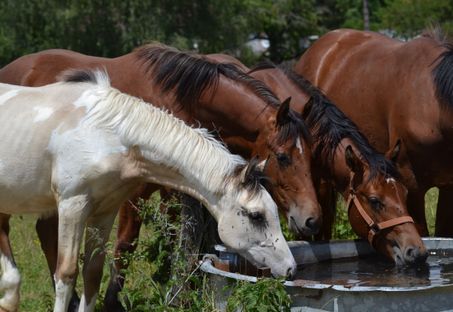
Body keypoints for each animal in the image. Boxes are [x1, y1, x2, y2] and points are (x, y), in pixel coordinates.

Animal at [0, 43, 318, 310]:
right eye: (256, 216)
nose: (290, 268)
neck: (108, 131)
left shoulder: (104, 210)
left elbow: (92, 273)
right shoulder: (73, 205)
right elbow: (67, 273)